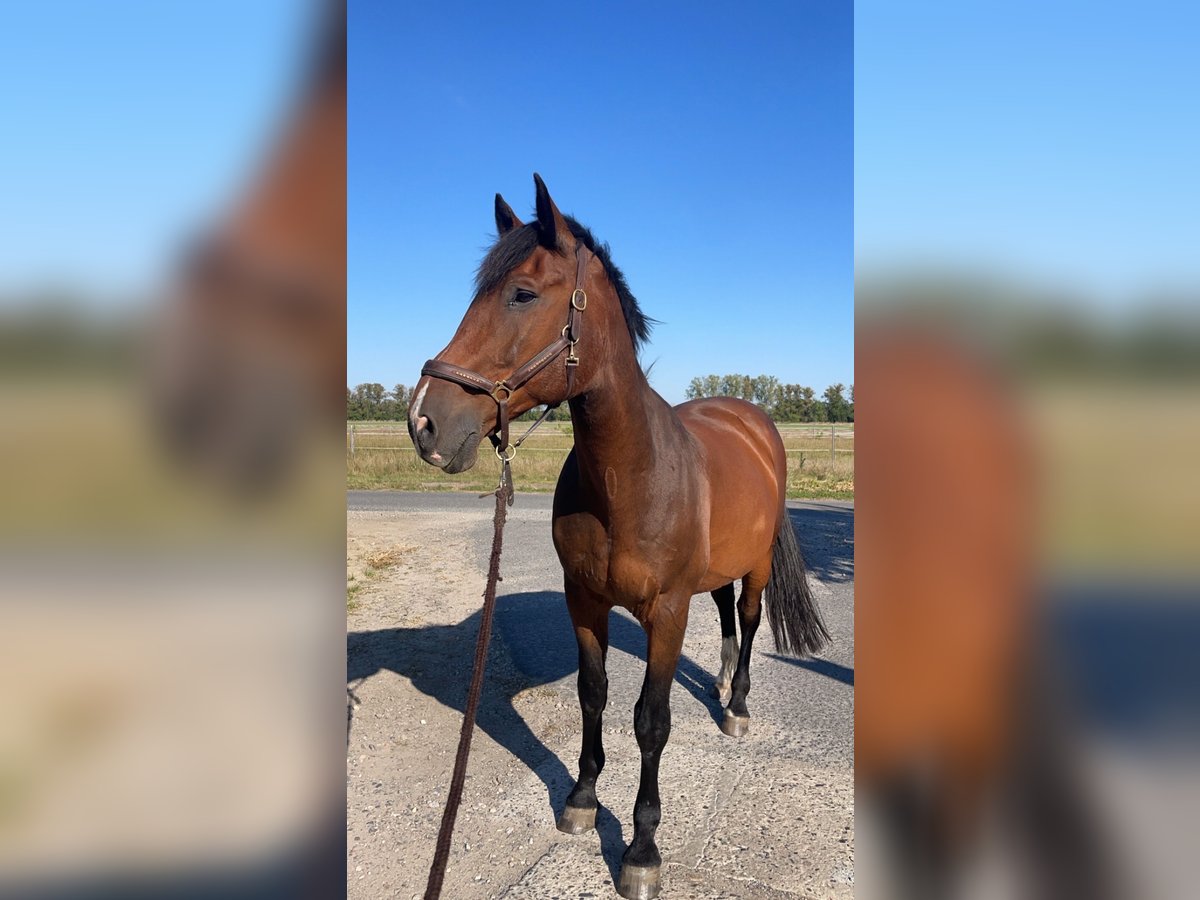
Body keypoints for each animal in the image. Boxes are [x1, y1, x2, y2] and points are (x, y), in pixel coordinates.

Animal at [408, 172, 830, 897]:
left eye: (522, 293)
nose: (424, 421)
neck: (629, 475)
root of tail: (754, 421)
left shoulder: (666, 613)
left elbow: (650, 722)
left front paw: (641, 850)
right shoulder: (585, 601)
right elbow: (593, 695)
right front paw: (581, 799)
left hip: (753, 571)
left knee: (747, 622)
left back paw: (736, 706)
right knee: (724, 616)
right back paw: (719, 681)